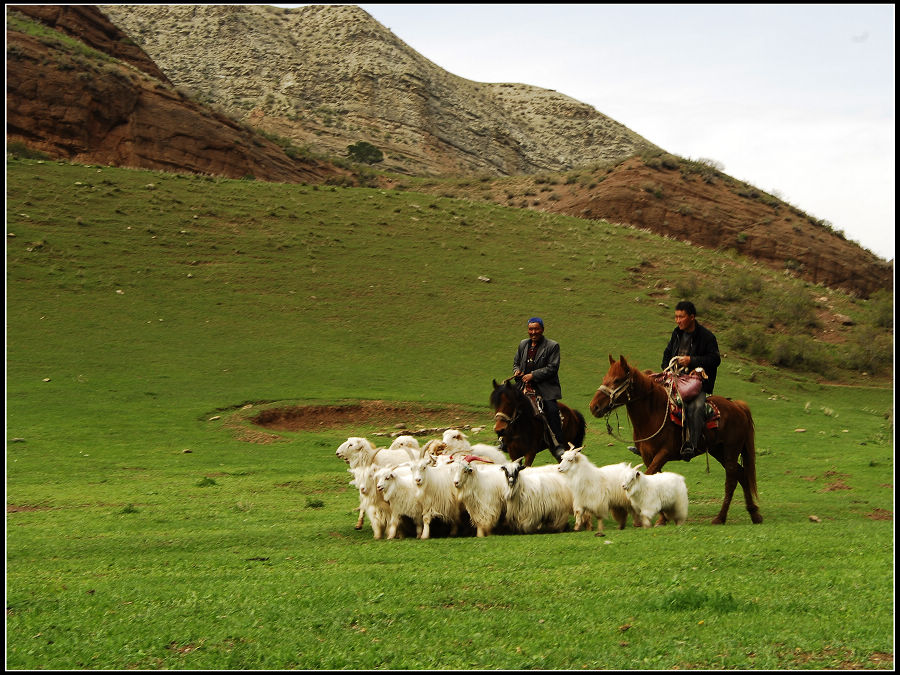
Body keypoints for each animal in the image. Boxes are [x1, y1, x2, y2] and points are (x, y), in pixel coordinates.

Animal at [596, 356, 764, 524]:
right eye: (605, 378)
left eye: (617, 380)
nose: (594, 407)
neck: (653, 414)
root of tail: (737, 406)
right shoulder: (647, 455)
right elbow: (656, 480)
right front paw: (662, 519)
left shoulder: (664, 453)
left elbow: (649, 476)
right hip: (719, 451)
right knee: (742, 474)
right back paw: (754, 514)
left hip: (731, 450)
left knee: (731, 480)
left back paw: (720, 518)